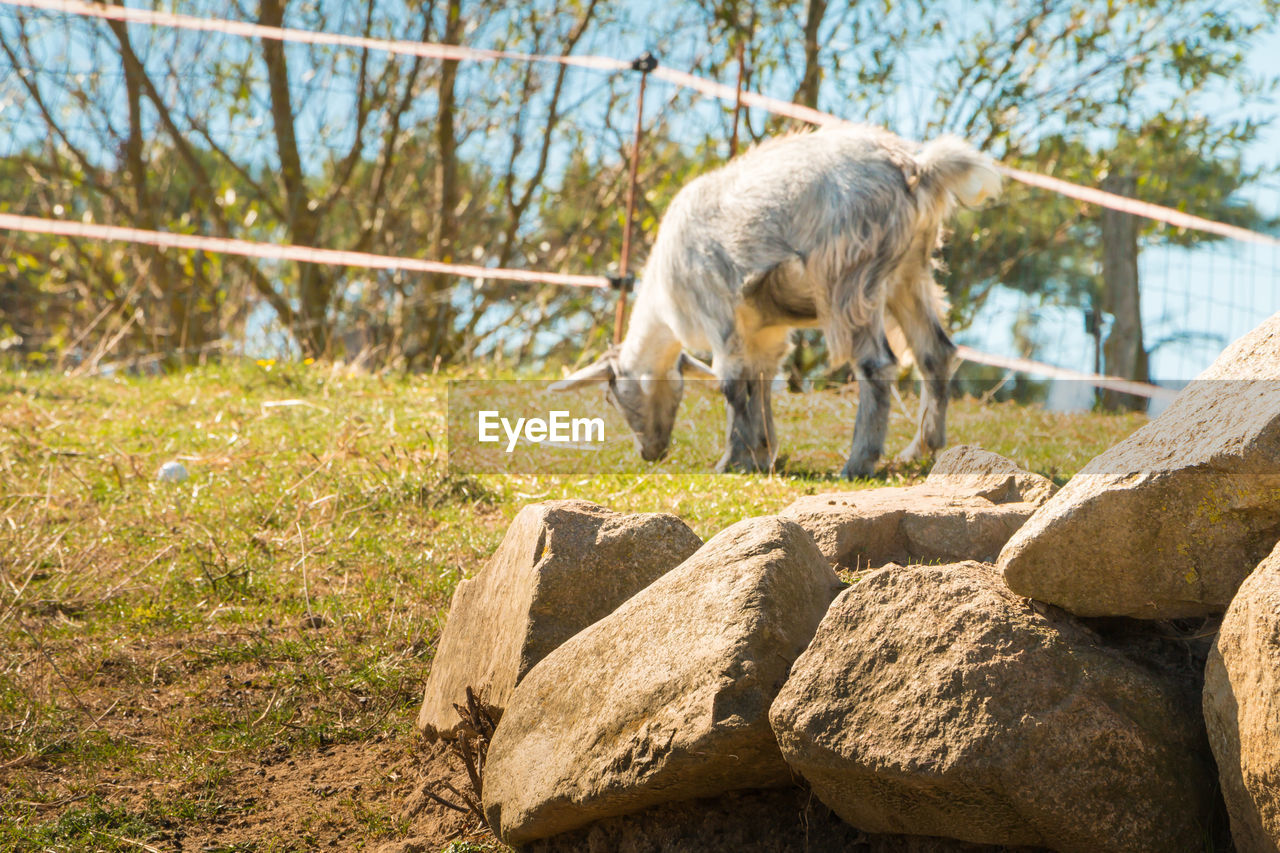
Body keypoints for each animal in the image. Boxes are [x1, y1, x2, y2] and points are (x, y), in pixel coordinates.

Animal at [555, 122, 1003, 473]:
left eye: (611, 397)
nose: (649, 453)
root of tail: (915, 167)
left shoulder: (720, 314)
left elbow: (733, 385)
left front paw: (732, 460)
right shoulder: (763, 329)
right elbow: (761, 381)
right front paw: (763, 453)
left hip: (850, 274)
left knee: (876, 364)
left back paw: (858, 462)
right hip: (908, 272)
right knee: (935, 352)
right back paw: (920, 449)